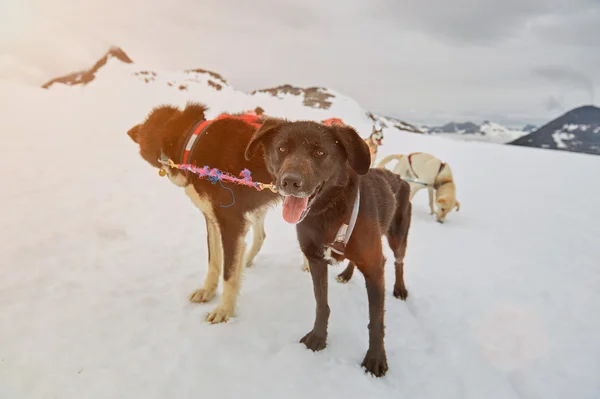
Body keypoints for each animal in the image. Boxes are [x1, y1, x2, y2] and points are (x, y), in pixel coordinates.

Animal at [127, 102, 282, 322]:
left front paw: (225, 310)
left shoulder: (230, 223)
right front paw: (208, 291)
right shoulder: (212, 219)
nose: (132, 131)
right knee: (261, 235)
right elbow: (214, 260)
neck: (192, 142)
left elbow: (228, 273)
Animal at [245, 118, 412, 378]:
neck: (329, 211)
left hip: (398, 238)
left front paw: (375, 358)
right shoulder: (315, 260)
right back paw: (346, 274)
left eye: (320, 152)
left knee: (399, 261)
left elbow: (375, 320)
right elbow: (321, 305)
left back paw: (400, 288)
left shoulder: (375, 266)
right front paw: (318, 337)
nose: (290, 182)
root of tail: (399, 177)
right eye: (282, 148)